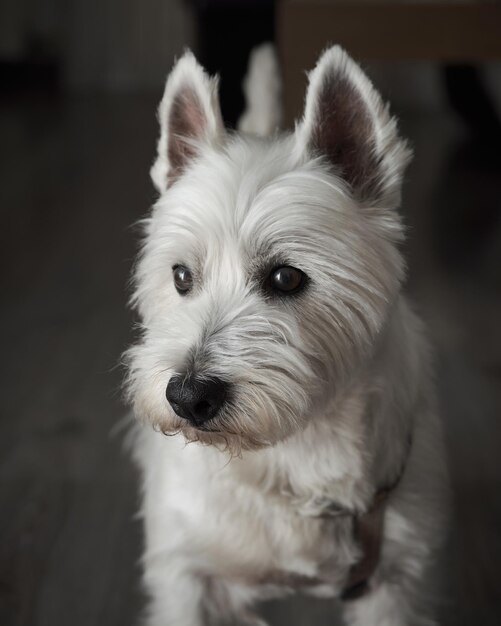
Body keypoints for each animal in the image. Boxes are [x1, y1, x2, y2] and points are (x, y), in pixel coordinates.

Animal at [127, 45, 448, 624]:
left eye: (286, 278)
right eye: (181, 276)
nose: (187, 396)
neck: (289, 451)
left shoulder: (396, 581)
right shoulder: (187, 575)